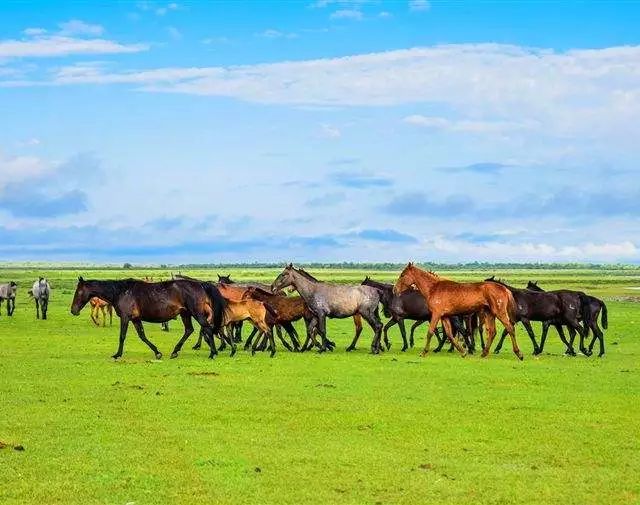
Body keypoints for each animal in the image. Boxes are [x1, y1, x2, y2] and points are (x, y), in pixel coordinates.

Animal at [68, 278, 225, 360]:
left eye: (79, 292)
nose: (73, 310)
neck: (121, 291)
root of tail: (201, 284)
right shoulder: (135, 319)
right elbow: (142, 336)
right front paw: (157, 352)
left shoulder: (125, 318)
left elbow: (122, 336)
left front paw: (117, 354)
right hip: (185, 314)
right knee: (189, 330)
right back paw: (175, 351)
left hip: (196, 313)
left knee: (207, 329)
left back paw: (213, 353)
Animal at [392, 264, 524, 358]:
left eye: (402, 275)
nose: (394, 290)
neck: (434, 288)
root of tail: (504, 289)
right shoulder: (444, 316)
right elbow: (449, 334)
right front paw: (463, 351)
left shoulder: (436, 315)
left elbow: (430, 332)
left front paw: (424, 352)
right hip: (489, 314)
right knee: (492, 332)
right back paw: (484, 353)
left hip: (499, 313)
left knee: (510, 328)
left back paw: (518, 353)